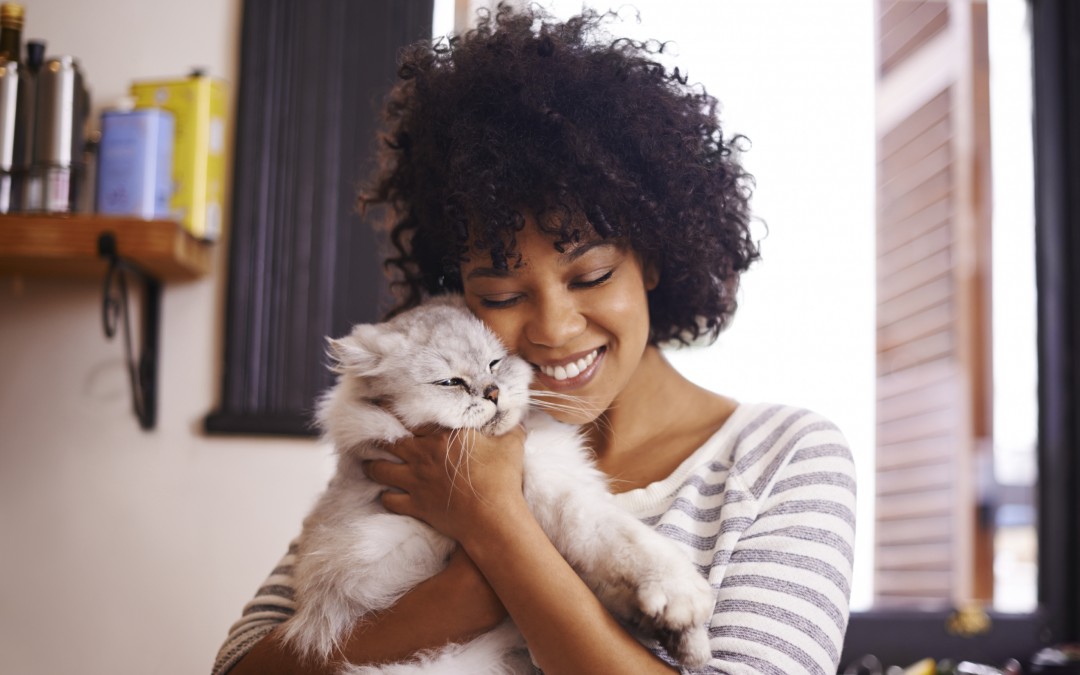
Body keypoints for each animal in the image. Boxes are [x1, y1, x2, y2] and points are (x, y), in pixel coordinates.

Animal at [282, 293, 712, 673]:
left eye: (495, 363)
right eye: (450, 382)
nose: (492, 392)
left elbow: (613, 570)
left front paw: (682, 637)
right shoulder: (553, 497)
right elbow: (624, 543)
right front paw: (680, 601)